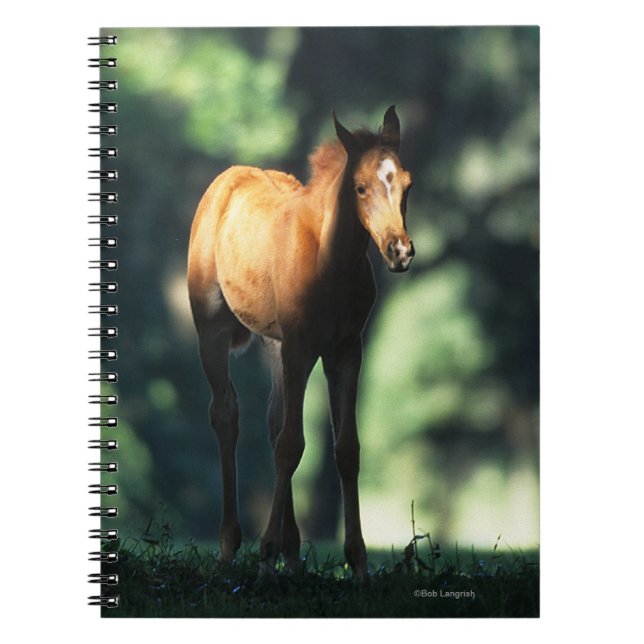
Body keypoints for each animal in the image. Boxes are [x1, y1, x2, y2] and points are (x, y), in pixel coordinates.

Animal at [187, 106, 414, 580]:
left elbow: (345, 448)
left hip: (275, 344)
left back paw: (292, 556)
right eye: (360, 187)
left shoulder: (346, 349)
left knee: (275, 421)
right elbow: (292, 445)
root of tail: (226, 179)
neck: (331, 264)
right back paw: (230, 547)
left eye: (407, 183)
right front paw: (265, 552)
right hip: (212, 332)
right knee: (227, 414)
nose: (399, 251)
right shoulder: (301, 346)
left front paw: (358, 563)